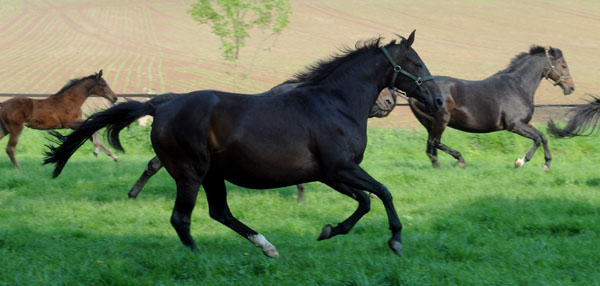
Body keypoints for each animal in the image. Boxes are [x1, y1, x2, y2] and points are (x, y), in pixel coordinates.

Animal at [410, 44, 576, 170]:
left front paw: (546, 164)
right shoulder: (514, 125)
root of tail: (414, 93)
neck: (518, 86)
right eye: (563, 65)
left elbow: (543, 137)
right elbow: (537, 139)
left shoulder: (524, 123)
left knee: (430, 148)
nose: (571, 87)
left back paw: (437, 167)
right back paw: (460, 160)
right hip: (441, 120)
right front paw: (520, 162)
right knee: (434, 142)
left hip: (430, 123)